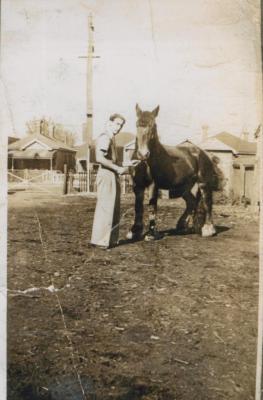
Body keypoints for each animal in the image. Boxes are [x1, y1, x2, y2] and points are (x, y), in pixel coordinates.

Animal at [127, 103, 225, 241]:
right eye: (137, 124)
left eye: (154, 125)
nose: (143, 154)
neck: (146, 162)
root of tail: (203, 153)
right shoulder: (137, 185)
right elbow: (138, 207)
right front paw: (134, 231)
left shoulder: (153, 185)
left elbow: (152, 206)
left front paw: (151, 234)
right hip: (184, 187)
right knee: (191, 202)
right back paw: (182, 226)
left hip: (203, 184)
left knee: (207, 203)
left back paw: (208, 229)